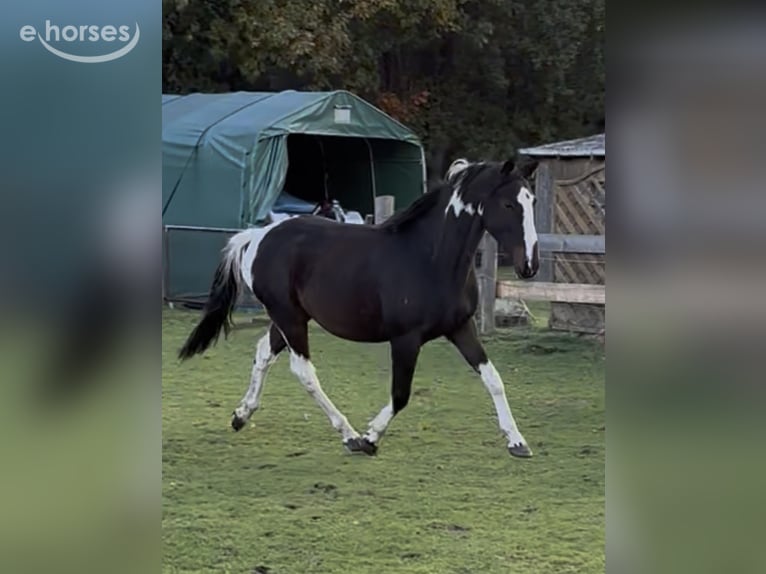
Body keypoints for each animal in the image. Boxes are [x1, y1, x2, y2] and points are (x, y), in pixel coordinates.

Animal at [178, 157, 540, 458]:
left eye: (532, 201)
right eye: (508, 204)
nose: (530, 266)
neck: (430, 258)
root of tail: (258, 236)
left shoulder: (461, 327)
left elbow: (493, 378)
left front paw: (517, 442)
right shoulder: (406, 339)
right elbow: (400, 394)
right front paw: (370, 438)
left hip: (291, 318)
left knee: (264, 352)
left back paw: (241, 415)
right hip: (289, 318)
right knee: (304, 371)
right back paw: (349, 435)